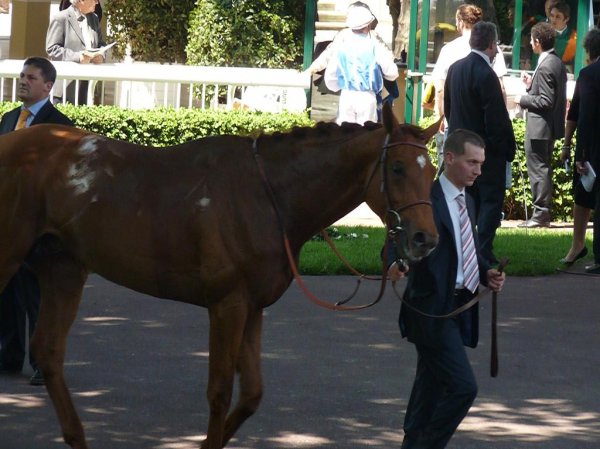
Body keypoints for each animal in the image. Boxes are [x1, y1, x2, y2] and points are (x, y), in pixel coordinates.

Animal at [0, 103, 440, 446]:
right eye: (397, 168)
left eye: (432, 170)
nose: (425, 238)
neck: (269, 196)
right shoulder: (227, 303)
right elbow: (220, 392)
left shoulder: (253, 306)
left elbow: (252, 395)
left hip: (62, 266)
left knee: (49, 352)